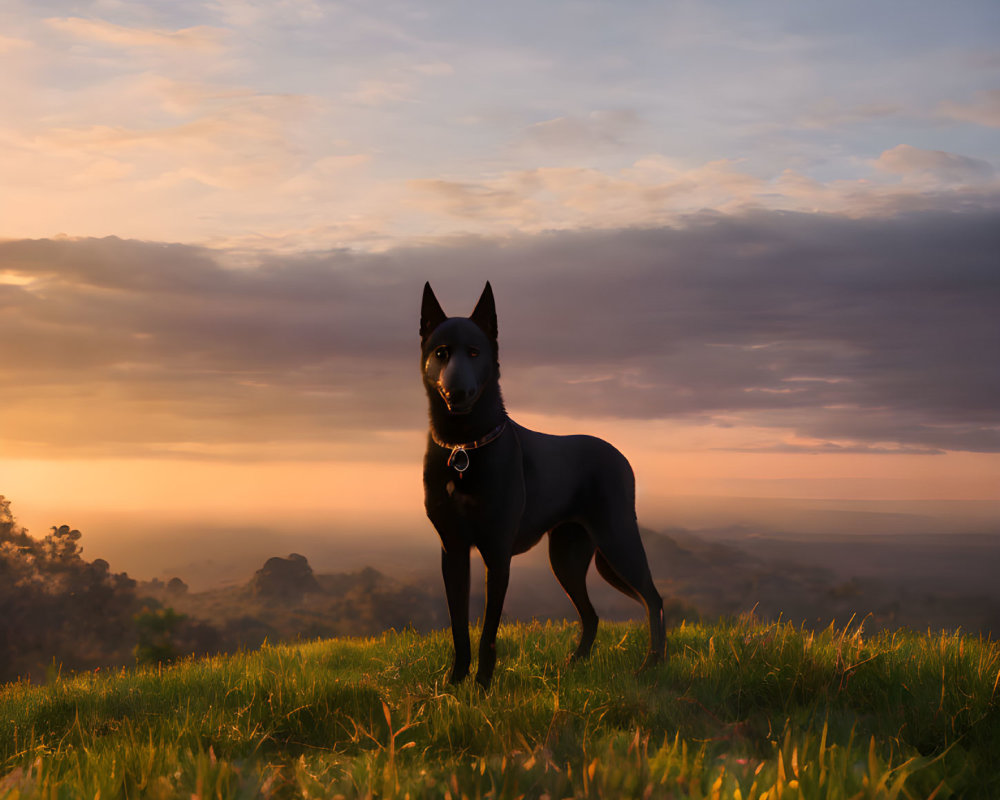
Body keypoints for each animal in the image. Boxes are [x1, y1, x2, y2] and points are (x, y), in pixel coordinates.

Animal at [420, 282, 664, 688]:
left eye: (475, 352)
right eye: (441, 353)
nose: (458, 393)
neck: (463, 445)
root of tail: (619, 455)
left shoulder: (496, 555)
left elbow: (487, 634)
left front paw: (482, 687)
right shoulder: (452, 551)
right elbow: (458, 628)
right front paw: (454, 685)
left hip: (617, 543)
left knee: (653, 599)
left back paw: (651, 666)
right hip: (567, 557)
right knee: (592, 614)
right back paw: (576, 664)